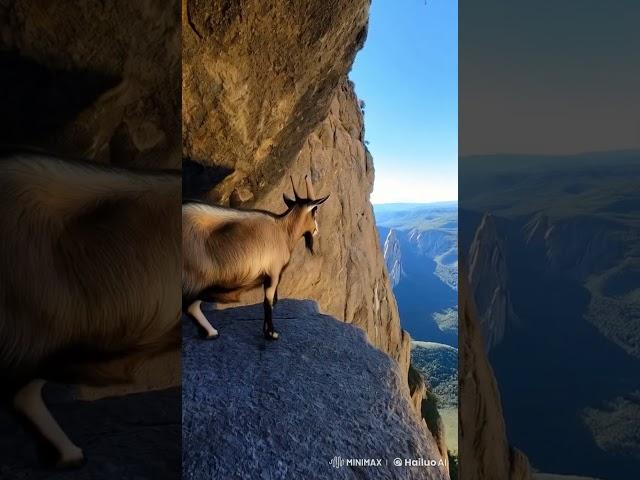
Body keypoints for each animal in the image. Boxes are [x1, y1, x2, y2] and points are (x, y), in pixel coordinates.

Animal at [181, 176, 328, 342]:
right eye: (315, 211)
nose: (316, 230)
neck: (283, 230)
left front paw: (266, 330)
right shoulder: (273, 273)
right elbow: (268, 303)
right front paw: (272, 334)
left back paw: (210, 332)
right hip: (198, 277)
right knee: (190, 305)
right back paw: (211, 332)